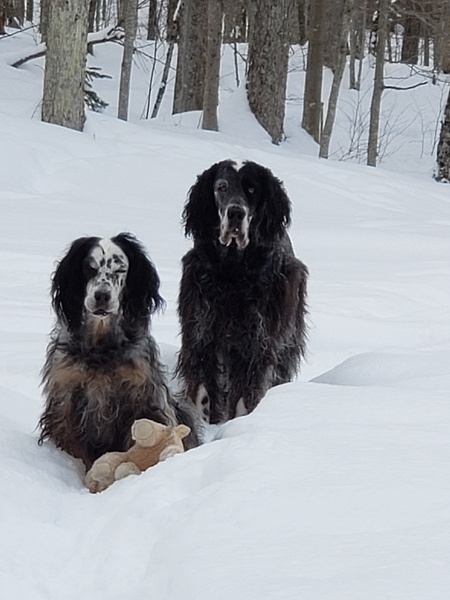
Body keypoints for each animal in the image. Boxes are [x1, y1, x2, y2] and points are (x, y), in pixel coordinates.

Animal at [37, 232, 200, 466]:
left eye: (120, 270)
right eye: (89, 268)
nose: (102, 296)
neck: (101, 347)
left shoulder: (143, 398)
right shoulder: (65, 397)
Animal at [174, 159, 308, 422]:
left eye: (252, 189)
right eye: (222, 187)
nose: (236, 213)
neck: (232, 271)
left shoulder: (256, 342)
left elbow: (245, 397)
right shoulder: (200, 333)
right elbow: (202, 392)